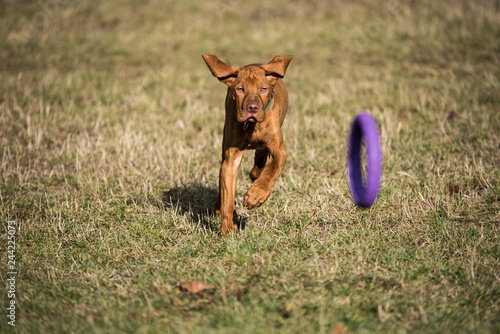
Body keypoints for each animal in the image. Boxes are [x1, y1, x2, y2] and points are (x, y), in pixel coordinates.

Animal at [201, 54, 292, 236]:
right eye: (240, 89)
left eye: (263, 89)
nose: (252, 108)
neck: (251, 126)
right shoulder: (231, 158)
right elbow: (228, 195)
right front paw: (228, 228)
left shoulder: (279, 149)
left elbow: (273, 168)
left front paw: (256, 195)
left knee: (260, 163)